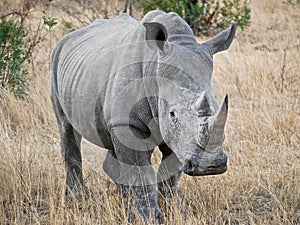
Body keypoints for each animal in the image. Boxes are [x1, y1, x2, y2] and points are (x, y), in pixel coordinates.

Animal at [50, 9, 236, 222]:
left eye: (216, 107)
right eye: (173, 114)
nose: (210, 166)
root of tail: (67, 38)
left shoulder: (176, 137)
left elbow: (171, 173)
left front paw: (173, 210)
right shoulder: (130, 123)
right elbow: (141, 171)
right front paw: (151, 218)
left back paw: (124, 203)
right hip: (55, 61)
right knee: (67, 128)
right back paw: (79, 198)